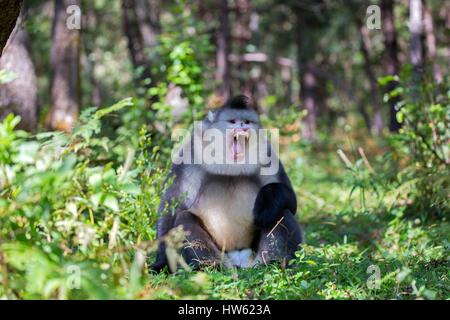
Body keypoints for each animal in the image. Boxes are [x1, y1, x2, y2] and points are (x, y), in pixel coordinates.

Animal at [151, 95, 302, 272]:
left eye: (247, 121)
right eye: (233, 121)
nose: (243, 127)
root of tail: (240, 261)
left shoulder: (269, 155)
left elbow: (290, 201)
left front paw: (266, 205)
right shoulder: (188, 156)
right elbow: (172, 206)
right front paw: (161, 262)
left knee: (282, 211)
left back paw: (274, 262)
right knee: (183, 217)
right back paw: (210, 266)